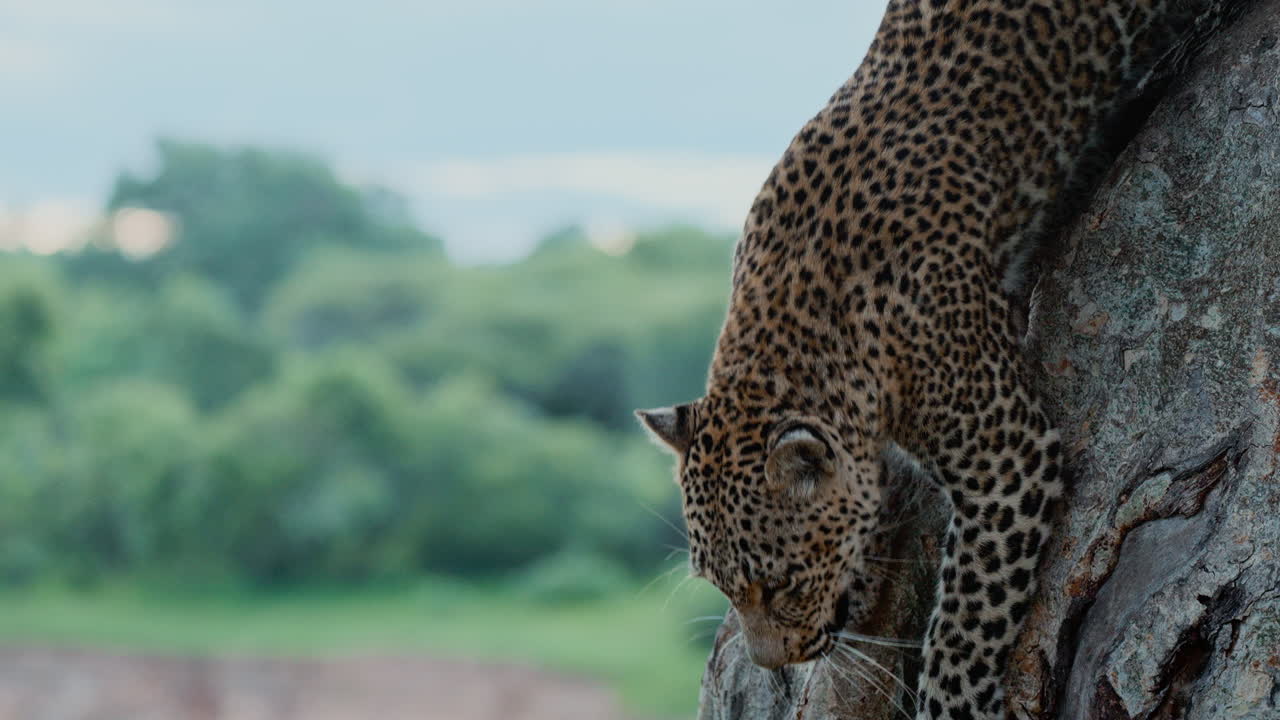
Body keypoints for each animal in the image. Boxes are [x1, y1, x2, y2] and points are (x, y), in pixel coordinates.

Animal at [637, 1, 1247, 718]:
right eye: (721, 587)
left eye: (783, 585)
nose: (770, 662)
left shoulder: (1006, 453)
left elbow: (968, 610)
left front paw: (950, 700)